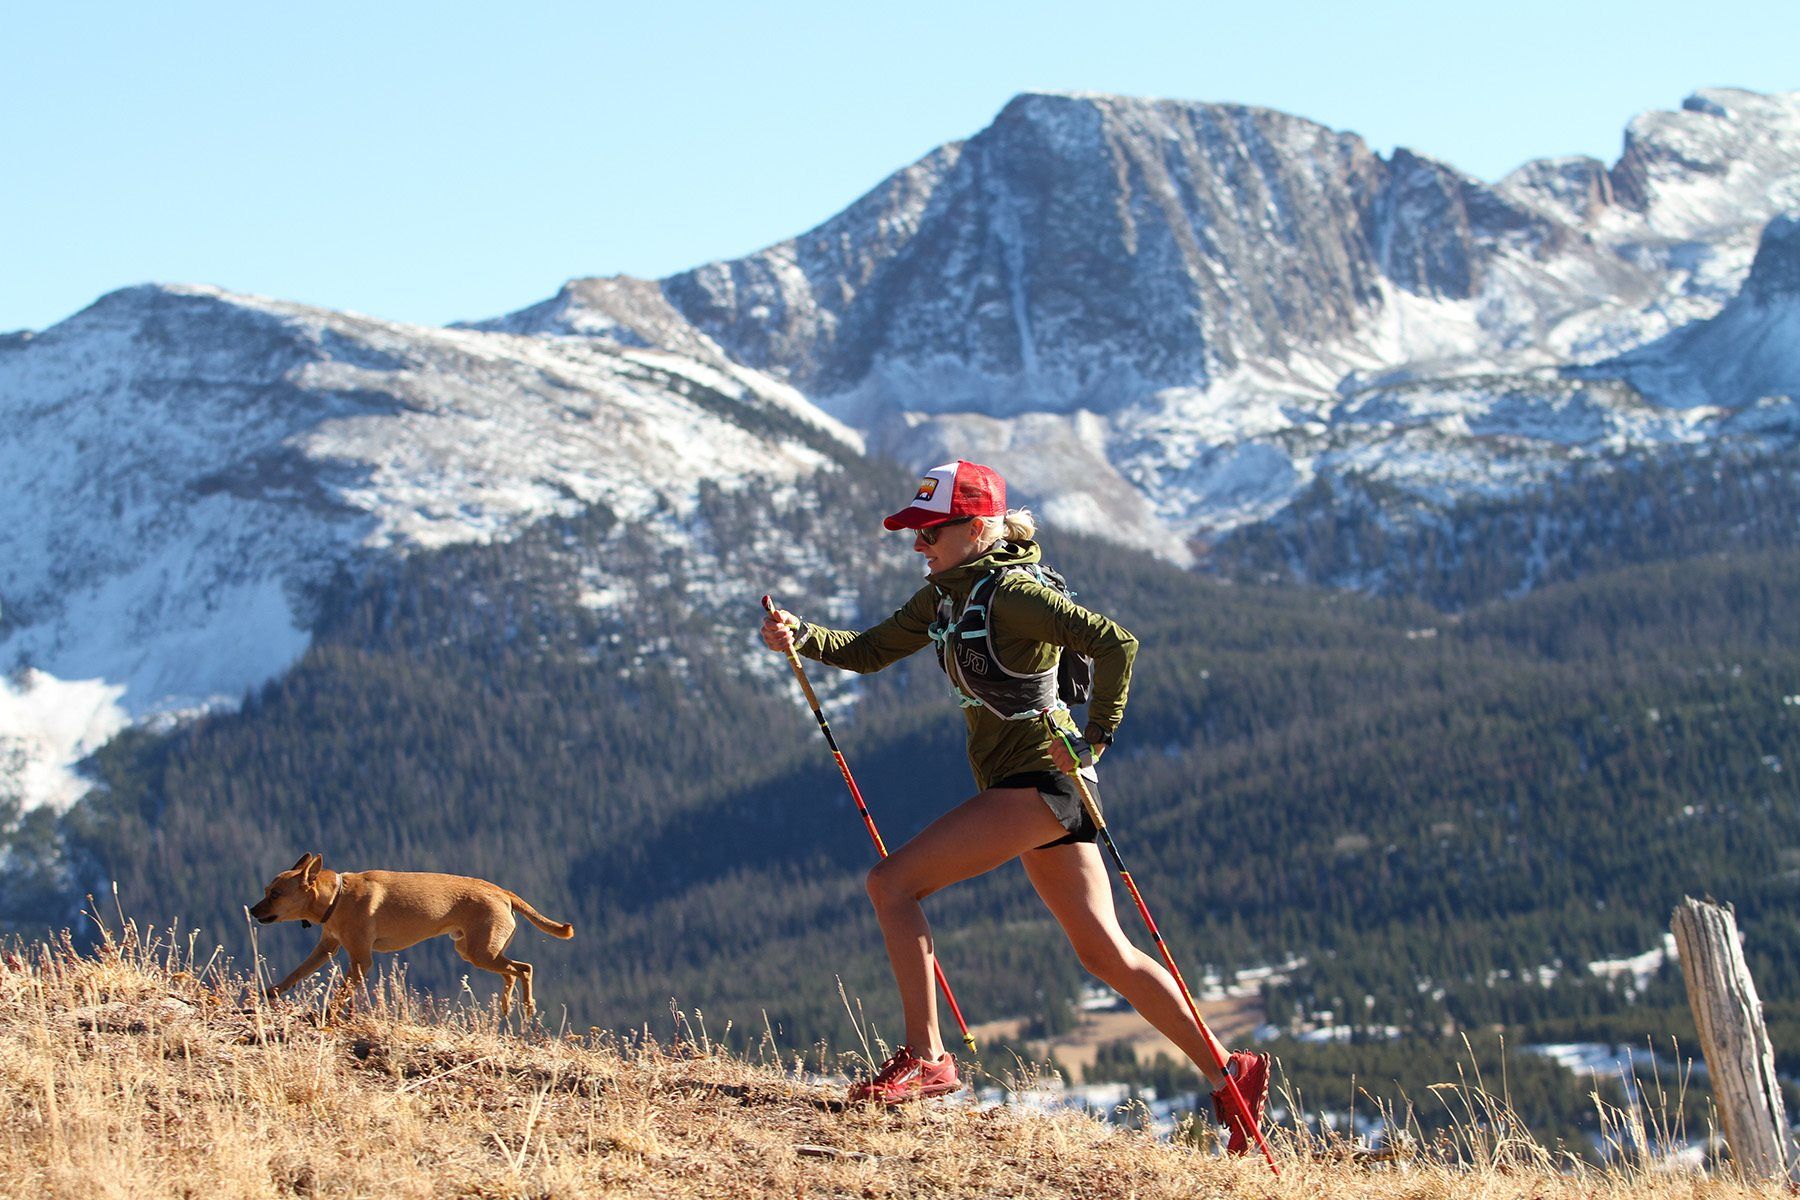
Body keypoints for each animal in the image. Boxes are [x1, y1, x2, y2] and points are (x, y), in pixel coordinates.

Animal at [250, 852, 572, 1014]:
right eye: (266, 890)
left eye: (276, 894)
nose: (252, 911)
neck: (338, 897)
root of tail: (503, 892)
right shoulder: (326, 948)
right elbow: (296, 973)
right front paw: (271, 992)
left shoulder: (360, 959)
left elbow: (342, 991)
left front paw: (328, 1012)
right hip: (474, 950)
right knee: (511, 972)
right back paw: (507, 1006)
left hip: (481, 952)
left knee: (524, 969)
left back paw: (527, 1007)